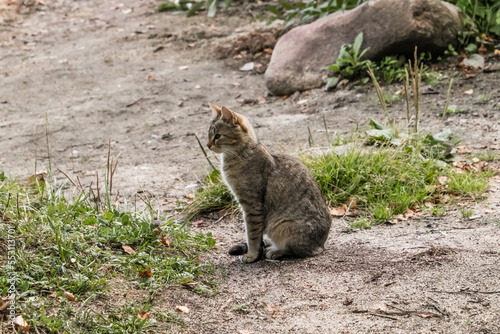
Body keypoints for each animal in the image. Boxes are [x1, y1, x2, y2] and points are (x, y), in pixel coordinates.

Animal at [205, 103, 330, 262]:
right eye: (208, 135)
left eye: (217, 136)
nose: (208, 145)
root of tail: (322, 245)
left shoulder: (252, 206)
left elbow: (252, 235)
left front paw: (252, 255)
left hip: (282, 227)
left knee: (299, 250)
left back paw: (276, 251)